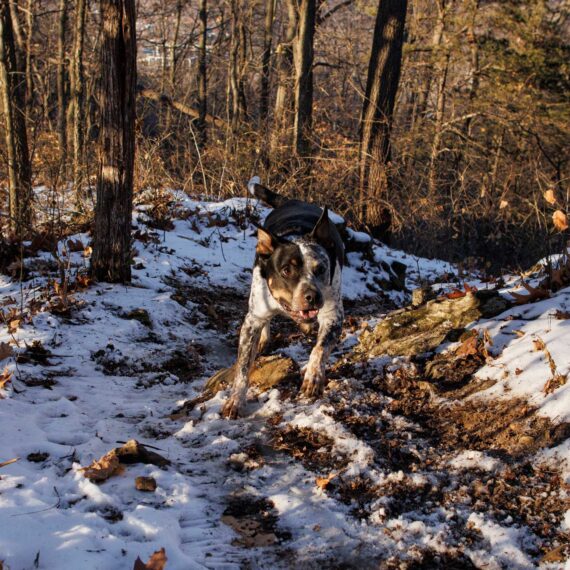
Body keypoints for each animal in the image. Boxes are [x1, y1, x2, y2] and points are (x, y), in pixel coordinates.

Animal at [221, 178, 344, 418]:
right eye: (286, 270)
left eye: (321, 268)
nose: (312, 296)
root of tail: (291, 200)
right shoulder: (252, 319)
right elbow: (242, 367)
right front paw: (235, 400)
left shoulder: (333, 316)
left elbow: (319, 349)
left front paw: (313, 377)